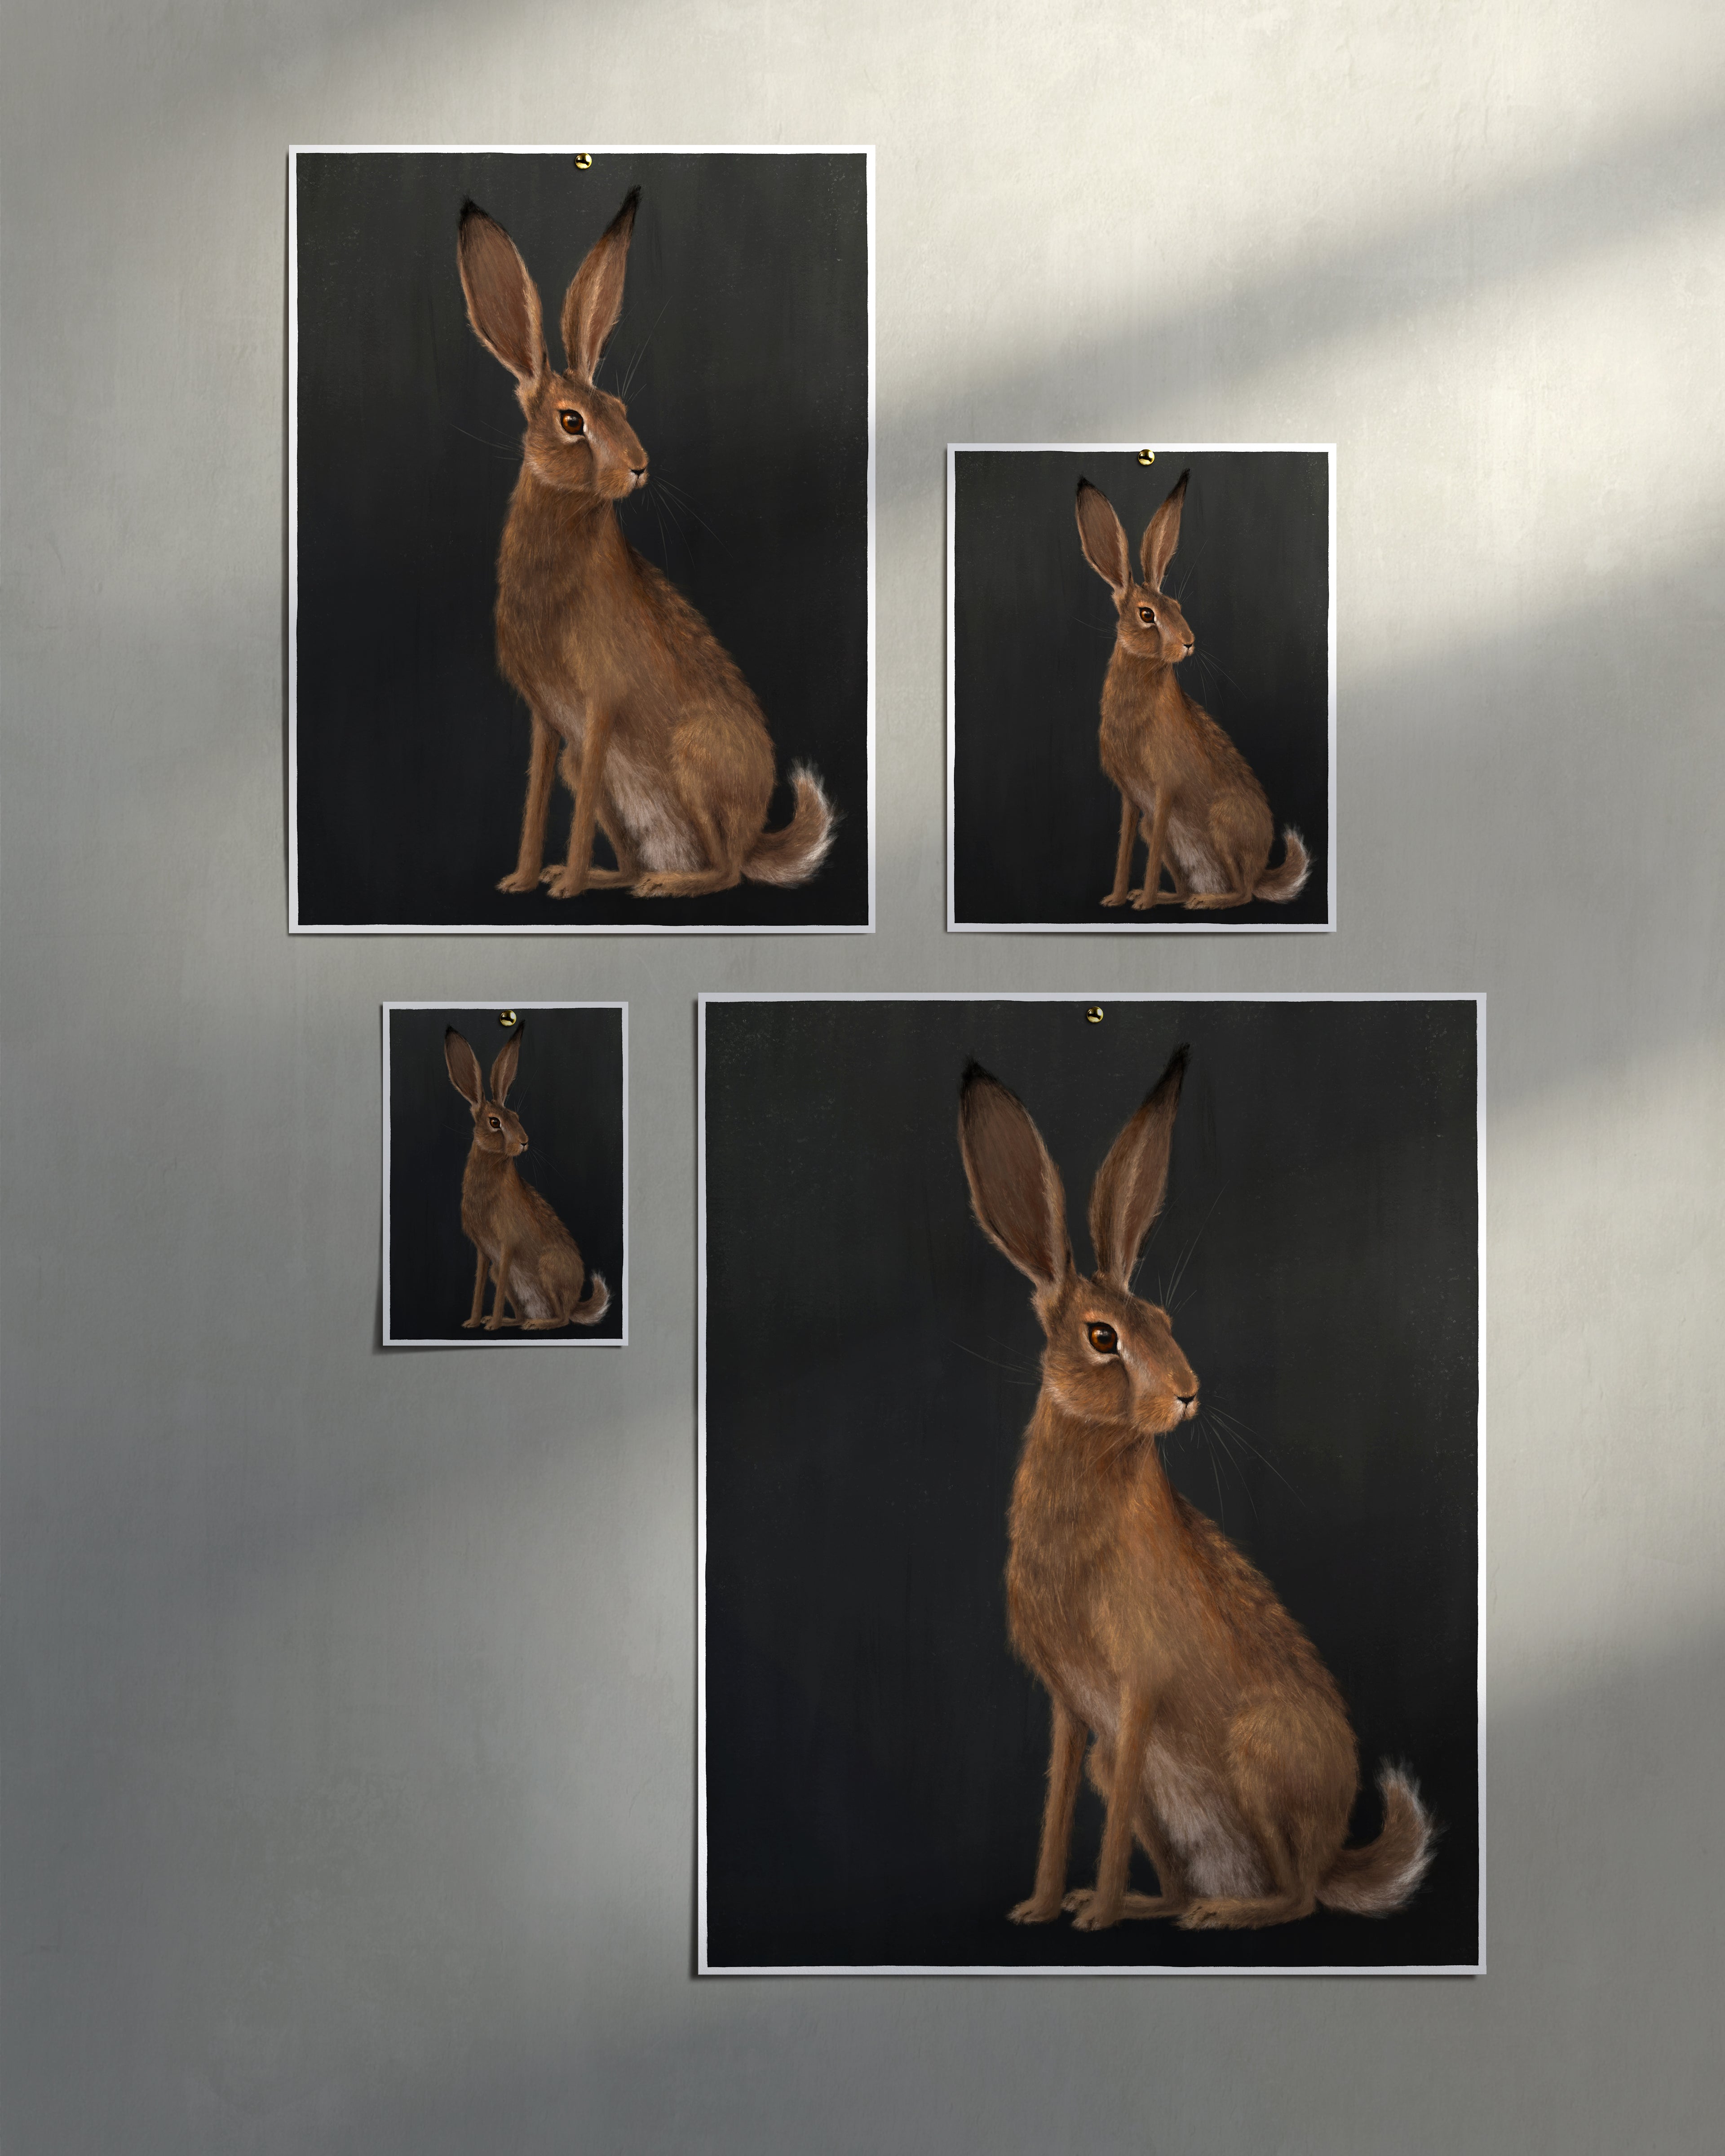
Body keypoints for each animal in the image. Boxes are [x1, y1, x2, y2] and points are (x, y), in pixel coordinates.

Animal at [443, 1024, 610, 1331]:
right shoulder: (485, 1253)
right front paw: (474, 1322)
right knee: (523, 1310)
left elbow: (495, 1292)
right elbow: (479, 1286)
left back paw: (537, 1324)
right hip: (509, 1275)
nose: (524, 1142)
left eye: (517, 1116)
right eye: (495, 1122)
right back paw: (513, 1321)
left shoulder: (507, 1245)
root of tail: (575, 1303)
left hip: (548, 1269)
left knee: (563, 1319)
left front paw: (491, 1326)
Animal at [456, 189, 836, 901]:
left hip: (693, 758)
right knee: (638, 848)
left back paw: (665, 885)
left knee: (726, 872)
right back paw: (613, 877)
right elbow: (537, 798)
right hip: (607, 774)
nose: (639, 467)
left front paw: (564, 888)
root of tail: (755, 835)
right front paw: (525, 880)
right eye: (571, 421)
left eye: (623, 408)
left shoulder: (600, 704)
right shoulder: (550, 724)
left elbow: (572, 810)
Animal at [957, 1047, 1434, 1931]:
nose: (1187, 1393)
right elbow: (1058, 1805)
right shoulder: (1075, 1713)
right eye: (1103, 1337)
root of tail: (1333, 1852)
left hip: (1258, 1755)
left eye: (1166, 1321)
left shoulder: (1138, 1689)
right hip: (1142, 1774)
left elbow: (1106, 1820)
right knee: (1186, 1873)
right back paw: (1152, 1905)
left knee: (1298, 1899)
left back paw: (1222, 1914)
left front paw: (1092, 1919)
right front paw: (1043, 1907)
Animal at [1075, 470, 1310, 912]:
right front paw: (1117, 898)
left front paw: (1142, 904)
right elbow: (1125, 848)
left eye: (1179, 607)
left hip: (1223, 824)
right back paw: (1172, 897)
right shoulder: (1133, 801)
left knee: (1243, 893)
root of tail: (1260, 871)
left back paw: (1206, 902)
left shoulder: (1164, 789)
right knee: (1188, 880)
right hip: (1166, 831)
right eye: (1147, 614)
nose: (1188, 642)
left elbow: (1147, 855)